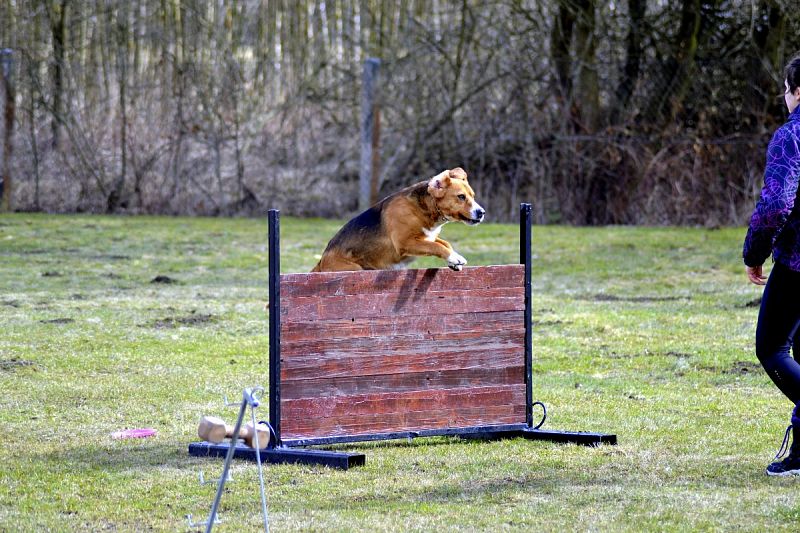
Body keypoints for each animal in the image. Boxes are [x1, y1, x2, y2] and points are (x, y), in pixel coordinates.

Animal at [310, 168, 488, 272]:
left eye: (472, 196)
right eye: (461, 197)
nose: (482, 212)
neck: (422, 209)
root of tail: (321, 262)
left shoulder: (427, 237)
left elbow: (444, 243)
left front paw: (454, 259)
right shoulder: (406, 243)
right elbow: (437, 247)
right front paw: (453, 258)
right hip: (354, 269)